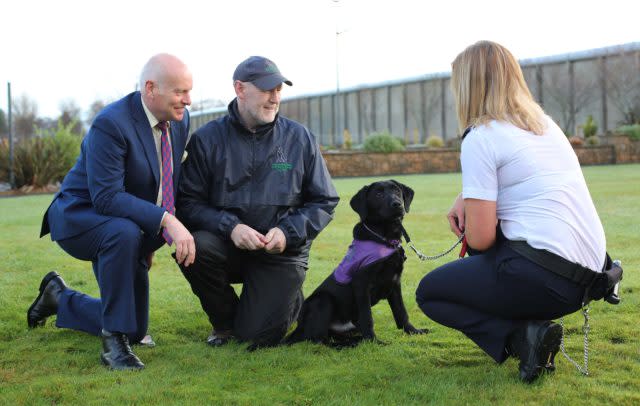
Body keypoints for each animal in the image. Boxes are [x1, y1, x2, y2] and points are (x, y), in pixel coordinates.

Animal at [288, 179, 428, 348]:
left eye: (397, 191)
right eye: (378, 194)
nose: (397, 204)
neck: (385, 238)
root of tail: (299, 328)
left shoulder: (395, 282)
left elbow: (401, 312)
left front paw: (413, 331)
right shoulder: (362, 284)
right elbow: (367, 317)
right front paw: (374, 341)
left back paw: (354, 341)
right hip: (322, 301)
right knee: (318, 339)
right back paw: (347, 345)